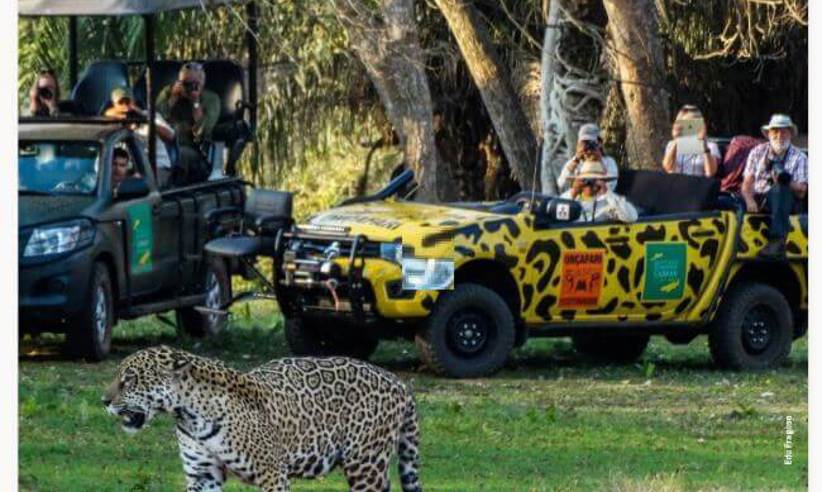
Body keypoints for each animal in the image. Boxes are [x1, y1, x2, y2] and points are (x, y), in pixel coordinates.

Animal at [102, 345, 422, 492]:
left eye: (129, 379)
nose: (104, 401)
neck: (189, 415)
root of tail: (398, 381)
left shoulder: (273, 474)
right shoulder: (202, 475)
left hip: (365, 464)